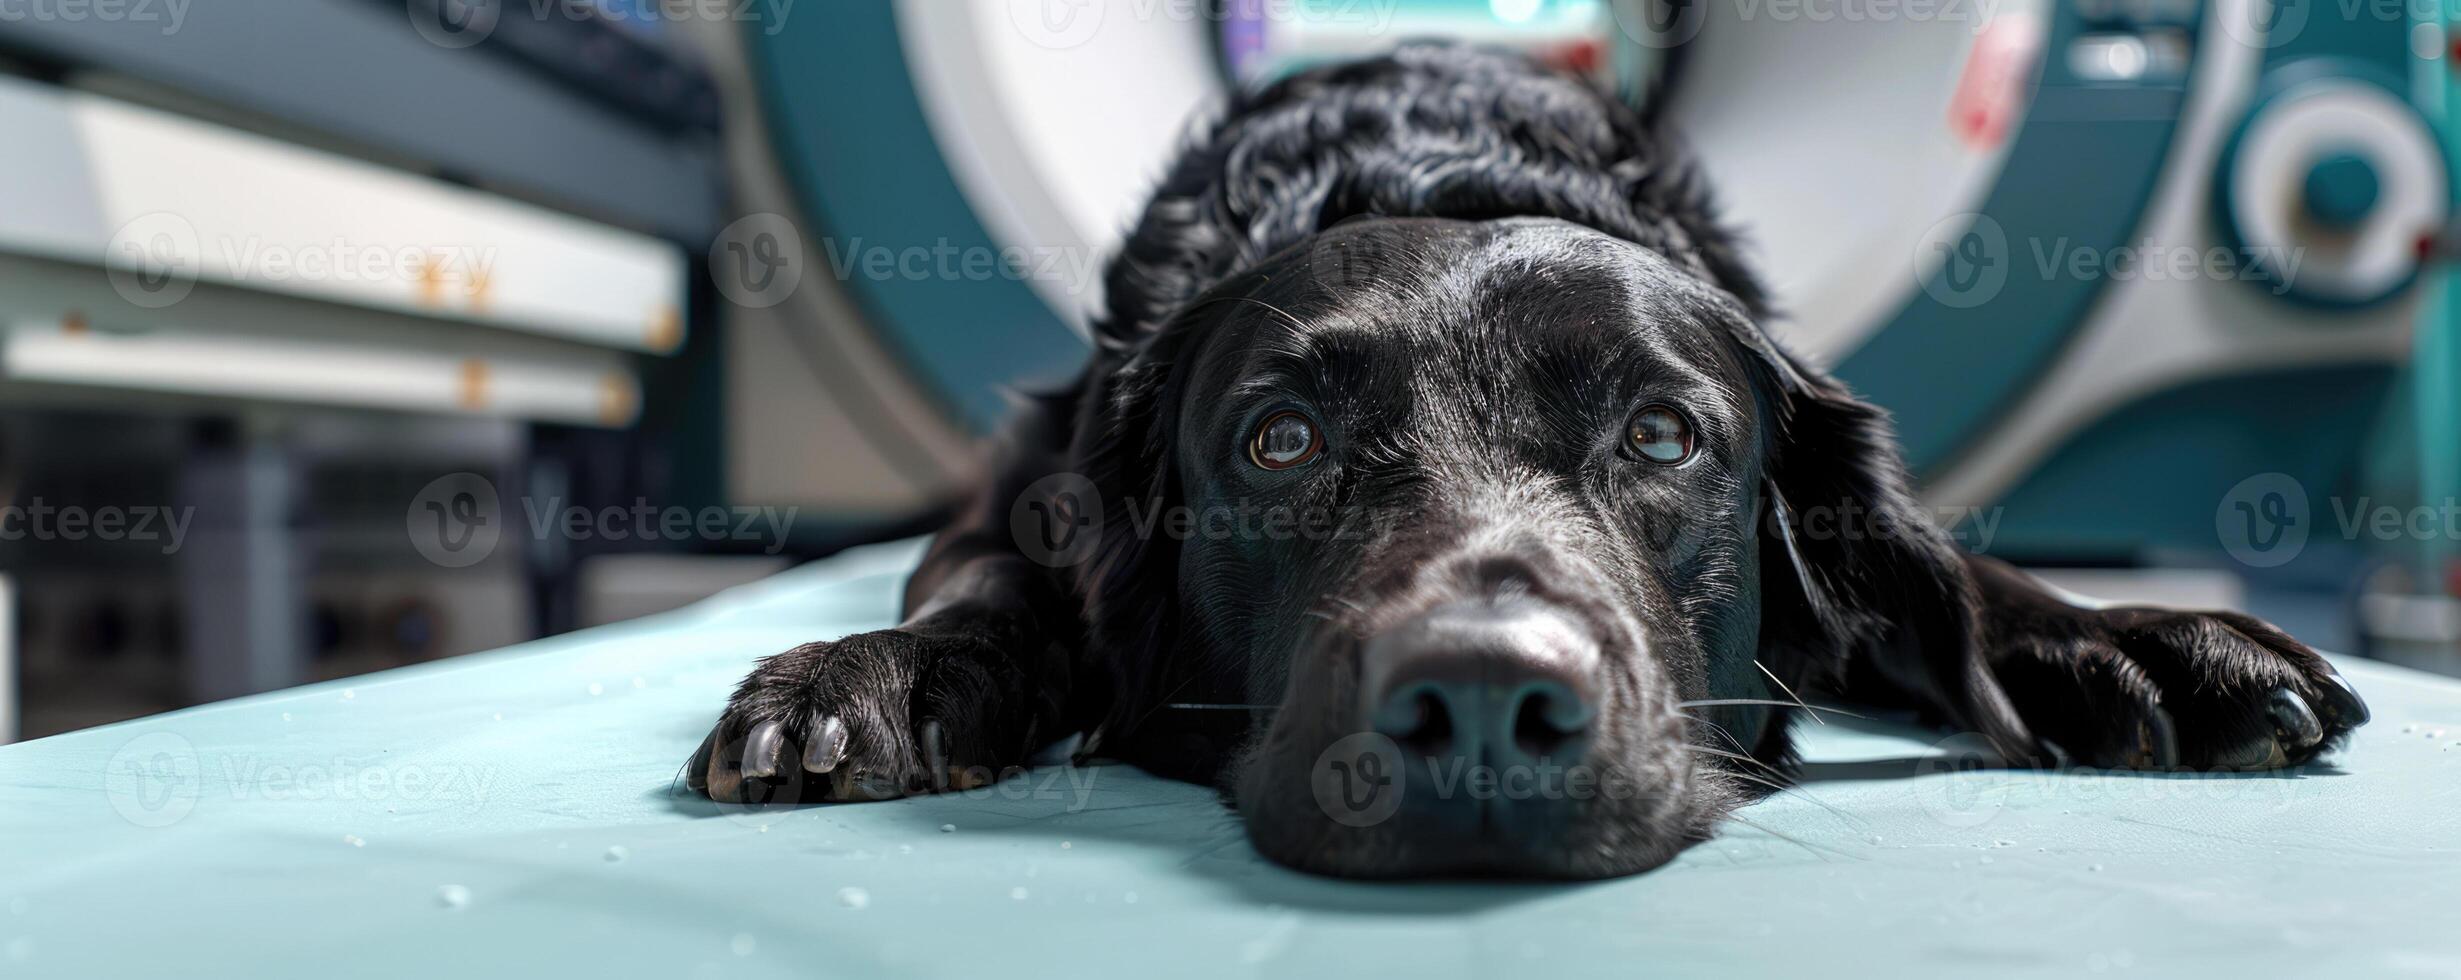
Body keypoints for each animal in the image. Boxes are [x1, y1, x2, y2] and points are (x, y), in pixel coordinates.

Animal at [689, 42, 2362, 876]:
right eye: (1281, 440)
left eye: (1661, 433)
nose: (1485, 703)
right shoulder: (1024, 493)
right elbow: (988, 585)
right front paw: (871, 676)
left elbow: (1964, 575)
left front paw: (2141, 643)